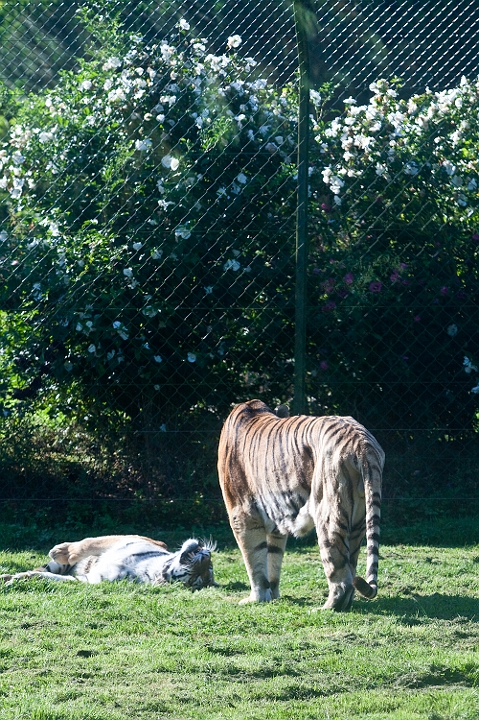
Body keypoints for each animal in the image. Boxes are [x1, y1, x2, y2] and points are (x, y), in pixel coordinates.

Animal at [0, 535, 216, 589]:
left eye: (196, 578)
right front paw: (60, 550)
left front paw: (22, 580)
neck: (152, 569)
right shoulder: (127, 538)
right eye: (210, 566)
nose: (206, 555)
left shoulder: (91, 580)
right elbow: (88, 543)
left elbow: (47, 577)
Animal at [217, 399, 384, 611]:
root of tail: (363, 442)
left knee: (341, 578)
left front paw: (256, 598)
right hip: (359, 520)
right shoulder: (276, 521)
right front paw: (273, 594)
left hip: (328, 514)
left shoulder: (242, 515)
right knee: (351, 569)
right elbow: (273, 557)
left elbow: (254, 560)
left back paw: (324, 609)